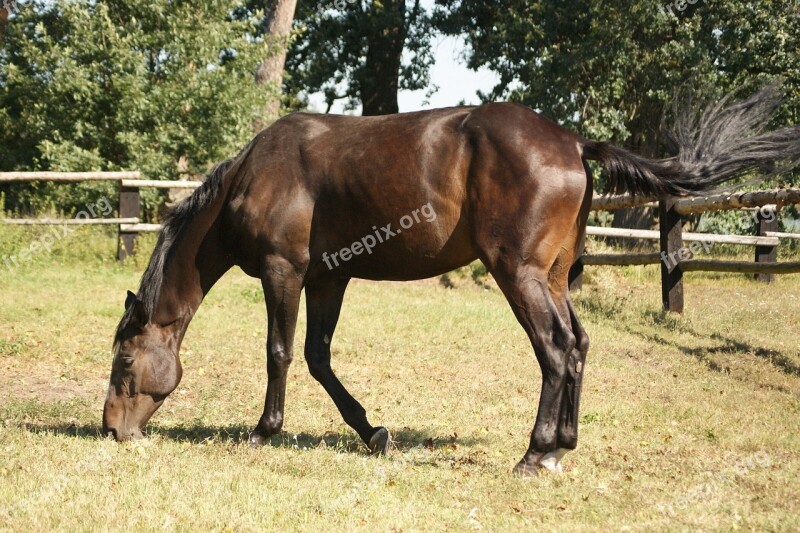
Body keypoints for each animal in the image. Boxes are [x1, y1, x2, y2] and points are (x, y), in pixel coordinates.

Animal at [103, 85, 796, 476]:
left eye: (124, 364)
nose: (112, 431)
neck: (256, 176)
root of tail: (573, 142)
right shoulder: (330, 278)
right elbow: (320, 358)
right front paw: (373, 432)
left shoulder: (285, 273)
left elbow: (279, 352)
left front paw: (263, 431)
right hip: (552, 277)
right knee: (578, 345)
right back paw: (562, 447)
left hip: (518, 274)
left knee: (555, 350)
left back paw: (535, 452)